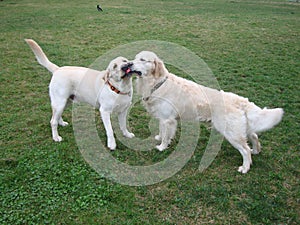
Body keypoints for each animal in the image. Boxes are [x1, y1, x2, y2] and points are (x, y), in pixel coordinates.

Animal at [130, 51, 282, 174]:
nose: (129, 63)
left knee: (245, 150)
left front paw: (162, 147)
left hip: (230, 132)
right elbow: (162, 132)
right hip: (241, 128)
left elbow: (166, 136)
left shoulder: (168, 119)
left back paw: (245, 167)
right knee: (254, 137)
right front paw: (159, 138)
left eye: (142, 60)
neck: (156, 83)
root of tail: (240, 100)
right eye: (135, 58)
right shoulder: (163, 118)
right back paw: (255, 151)